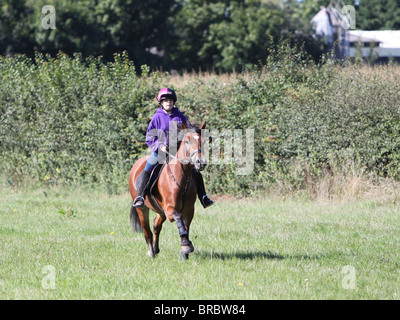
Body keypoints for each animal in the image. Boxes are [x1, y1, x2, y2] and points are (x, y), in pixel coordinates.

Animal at [129, 122, 209, 260]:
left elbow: (185, 228)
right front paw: (186, 246)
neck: (181, 177)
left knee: (156, 226)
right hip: (143, 210)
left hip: (160, 212)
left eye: (202, 141)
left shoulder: (189, 210)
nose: (201, 163)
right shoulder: (170, 210)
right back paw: (151, 253)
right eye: (187, 141)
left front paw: (184, 253)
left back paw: (156, 249)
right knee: (147, 232)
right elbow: (179, 219)